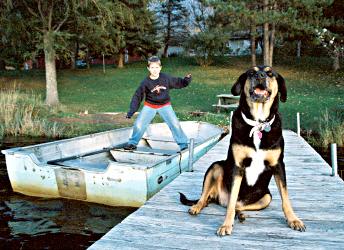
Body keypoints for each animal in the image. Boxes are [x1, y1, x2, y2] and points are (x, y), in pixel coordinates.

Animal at [179, 65, 306, 236]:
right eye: (251, 72)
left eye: (270, 73)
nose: (260, 75)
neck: (258, 123)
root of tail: (218, 199)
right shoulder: (237, 166)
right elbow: (232, 201)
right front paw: (226, 225)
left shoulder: (278, 165)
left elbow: (285, 198)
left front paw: (294, 220)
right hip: (215, 167)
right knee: (210, 198)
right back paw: (197, 206)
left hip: (266, 197)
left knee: (238, 206)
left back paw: (240, 214)